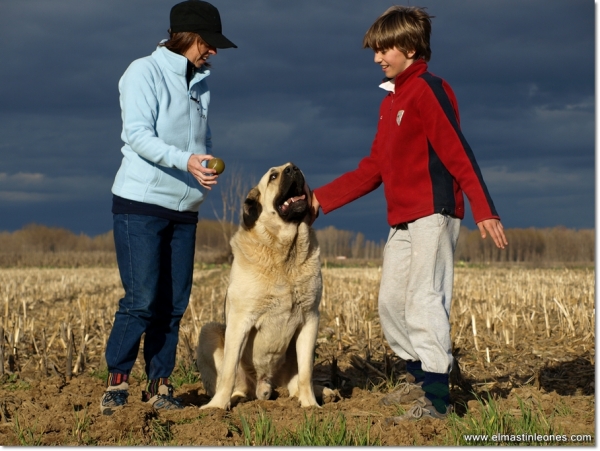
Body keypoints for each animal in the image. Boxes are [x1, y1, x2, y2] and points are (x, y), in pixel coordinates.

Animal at [198, 164, 326, 412]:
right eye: (273, 176)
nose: (294, 168)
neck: (285, 254)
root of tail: (265, 384)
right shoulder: (240, 320)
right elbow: (228, 371)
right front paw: (217, 408)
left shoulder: (310, 318)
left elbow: (306, 371)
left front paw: (310, 405)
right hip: (208, 331)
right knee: (236, 384)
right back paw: (230, 399)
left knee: (296, 381)